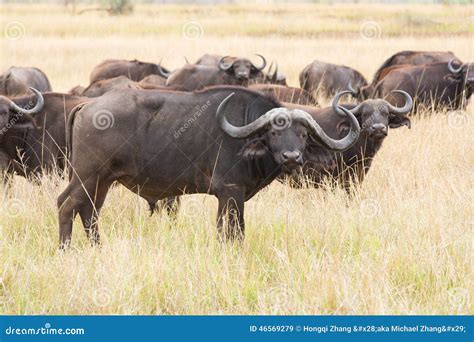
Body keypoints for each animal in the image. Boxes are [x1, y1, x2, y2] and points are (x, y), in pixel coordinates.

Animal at [56, 85, 360, 246]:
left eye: (303, 134)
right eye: (274, 132)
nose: (292, 157)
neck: (247, 130)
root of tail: (88, 106)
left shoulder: (230, 196)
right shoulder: (231, 192)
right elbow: (233, 232)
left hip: (103, 181)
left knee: (89, 211)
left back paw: (98, 247)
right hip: (88, 176)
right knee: (67, 205)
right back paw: (65, 249)